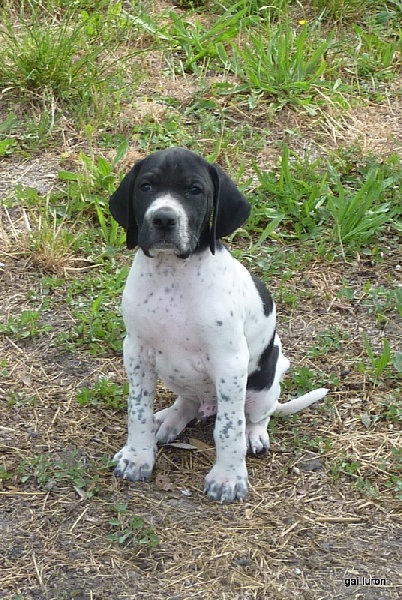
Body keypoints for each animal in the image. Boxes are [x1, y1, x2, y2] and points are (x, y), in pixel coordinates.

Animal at [109, 147, 328, 503]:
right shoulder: (136, 352)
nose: (163, 219)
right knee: (187, 402)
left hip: (264, 383)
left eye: (194, 190)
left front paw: (228, 478)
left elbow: (229, 427)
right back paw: (168, 420)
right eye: (146, 187)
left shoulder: (229, 362)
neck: (172, 275)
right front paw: (137, 456)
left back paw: (254, 435)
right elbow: (137, 411)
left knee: (257, 415)